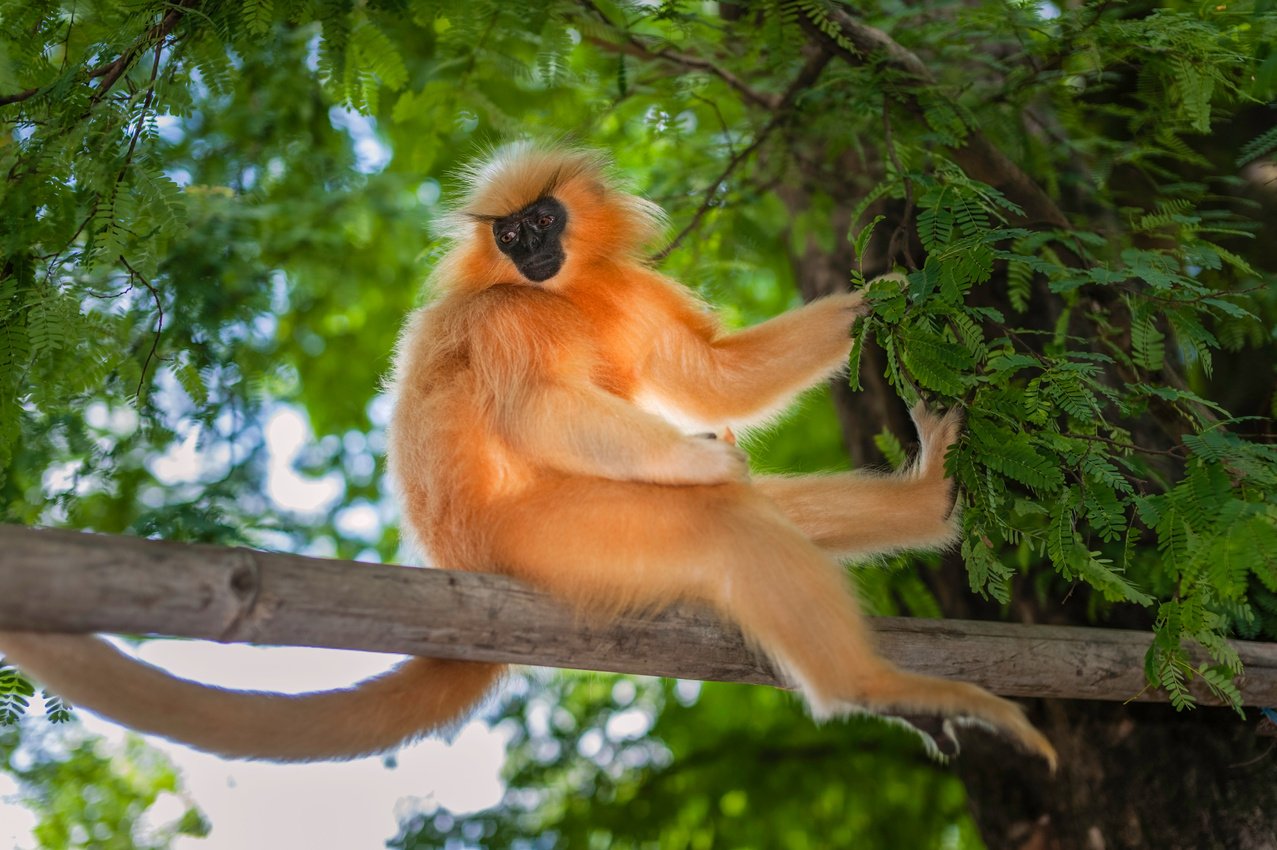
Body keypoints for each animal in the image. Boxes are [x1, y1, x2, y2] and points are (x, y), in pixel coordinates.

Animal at [0, 142, 1057, 765]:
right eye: (509, 234)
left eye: (542, 222)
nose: (530, 248)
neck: (560, 291)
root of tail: (459, 555)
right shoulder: (507, 315)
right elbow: (542, 410)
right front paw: (710, 460)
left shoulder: (617, 289)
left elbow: (711, 380)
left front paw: (888, 290)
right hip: (555, 537)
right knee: (723, 519)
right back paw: (865, 683)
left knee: (774, 511)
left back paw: (927, 504)